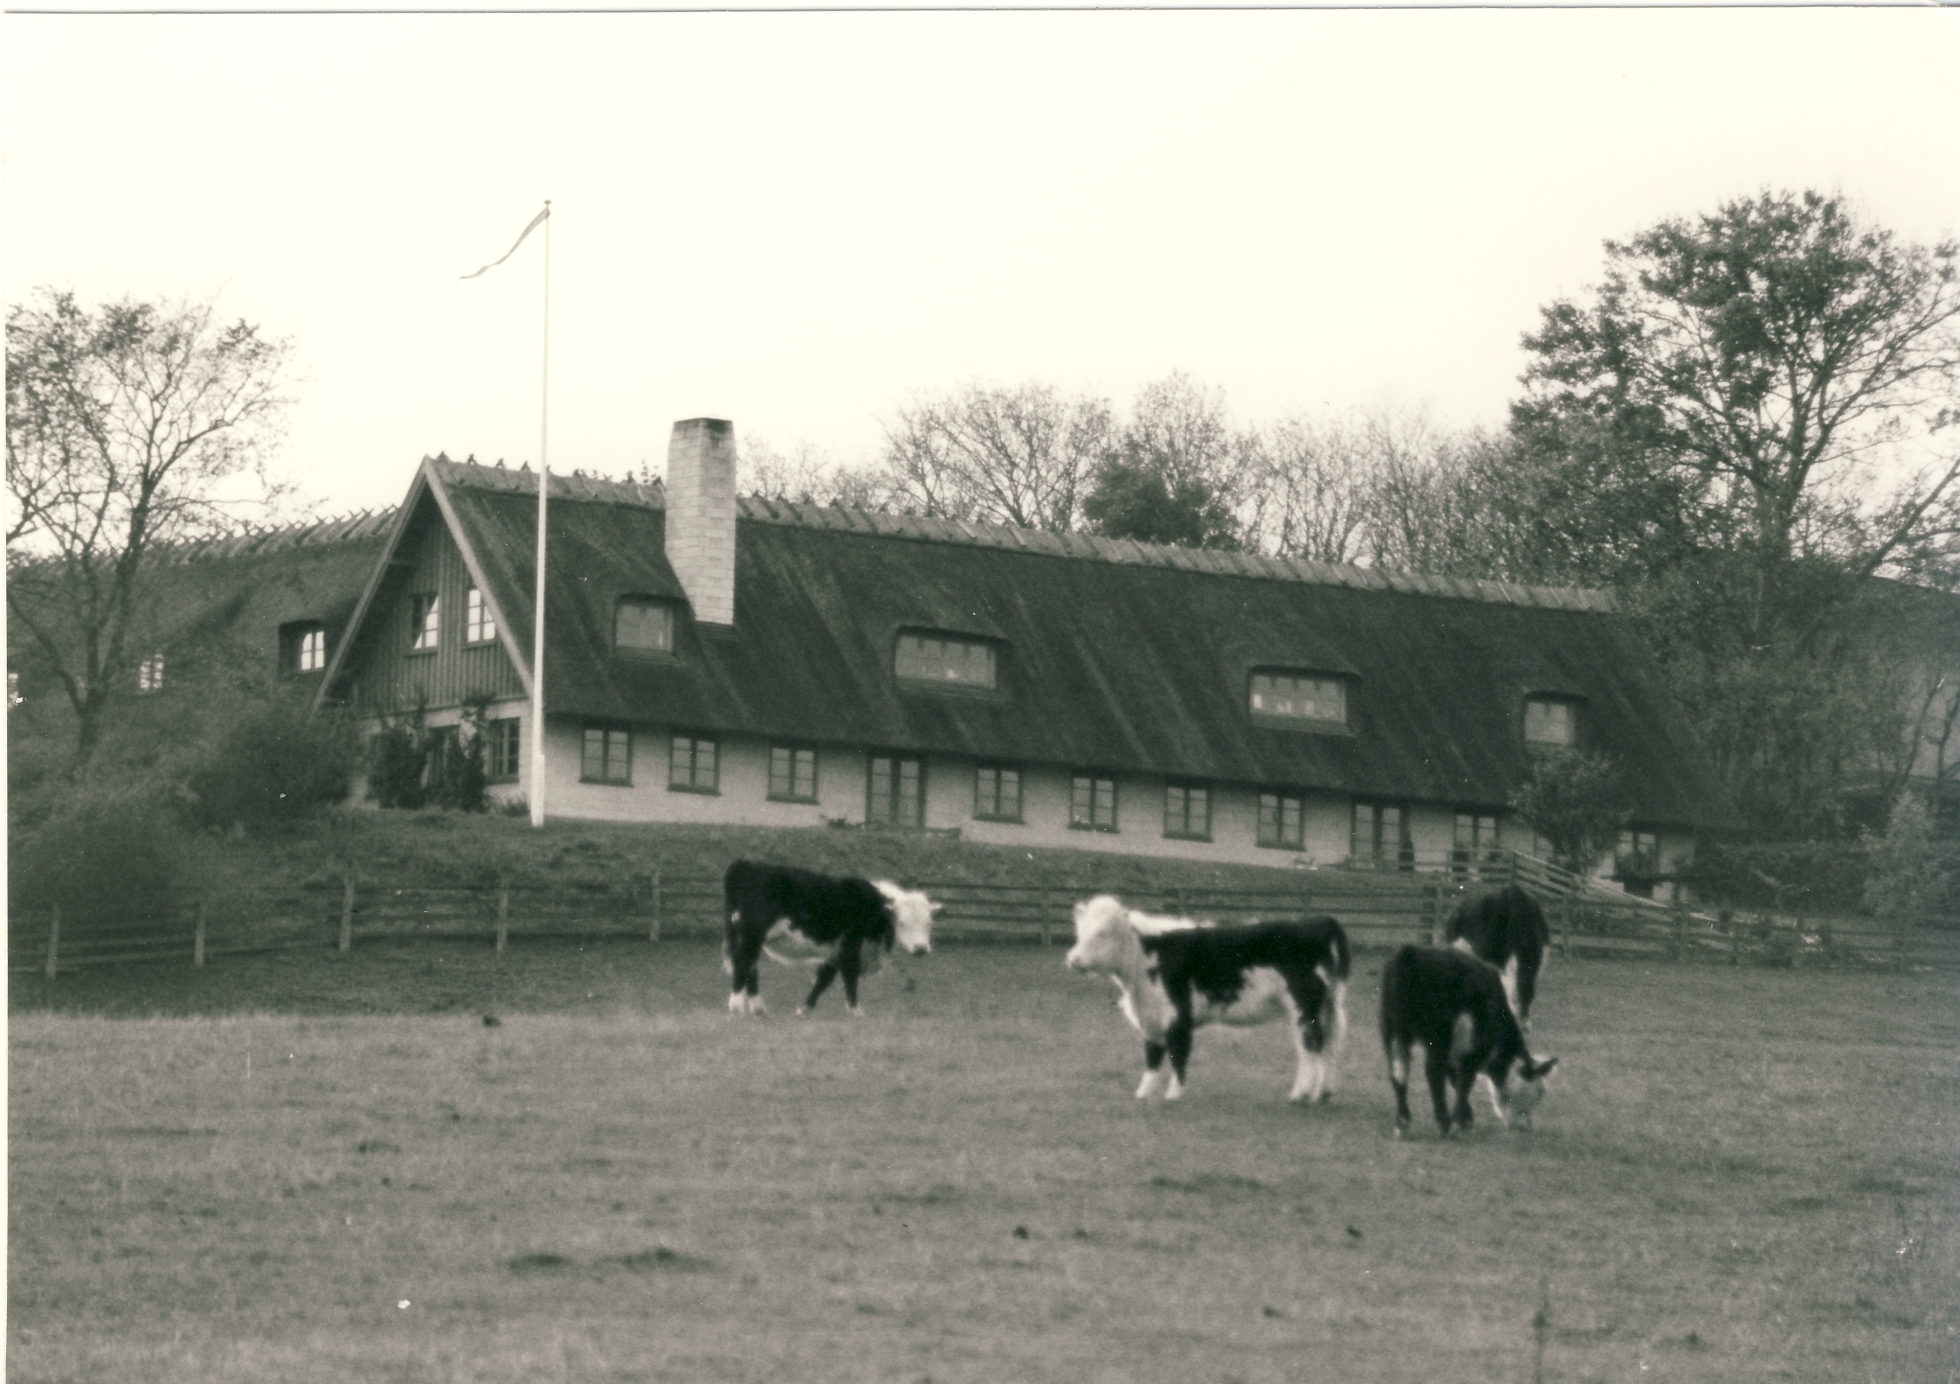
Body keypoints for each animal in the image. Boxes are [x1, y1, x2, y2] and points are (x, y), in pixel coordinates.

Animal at [722, 860, 939, 1017]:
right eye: (902, 923)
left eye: (929, 923)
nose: (920, 948)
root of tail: (747, 865)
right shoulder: (850, 945)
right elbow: (850, 976)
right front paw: (856, 1011)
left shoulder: (836, 951)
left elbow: (824, 979)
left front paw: (805, 1009)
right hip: (752, 935)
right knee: (743, 963)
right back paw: (736, 1007)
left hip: (749, 938)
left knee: (751, 967)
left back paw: (757, 1008)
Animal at [1064, 894, 1350, 1103]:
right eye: (1080, 931)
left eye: (1103, 933)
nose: (1073, 960)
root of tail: (1319, 921)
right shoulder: (1151, 1016)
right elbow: (1153, 1058)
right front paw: (1143, 1094)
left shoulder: (1178, 1014)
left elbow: (1178, 1054)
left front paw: (1173, 1095)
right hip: (1321, 1006)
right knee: (1323, 1045)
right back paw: (1321, 1093)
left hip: (1304, 1005)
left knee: (1311, 1046)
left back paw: (1302, 1095)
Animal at [1378, 943, 1557, 1138]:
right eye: (1537, 1094)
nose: (1525, 1126)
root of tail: (1410, 953)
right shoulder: (1475, 1049)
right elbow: (1465, 1081)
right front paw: (1462, 1120)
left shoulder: (1456, 1052)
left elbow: (1455, 1079)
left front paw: (1466, 1117)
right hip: (1440, 1035)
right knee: (1432, 1070)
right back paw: (1444, 1123)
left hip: (1394, 1030)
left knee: (1398, 1071)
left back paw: (1402, 1124)